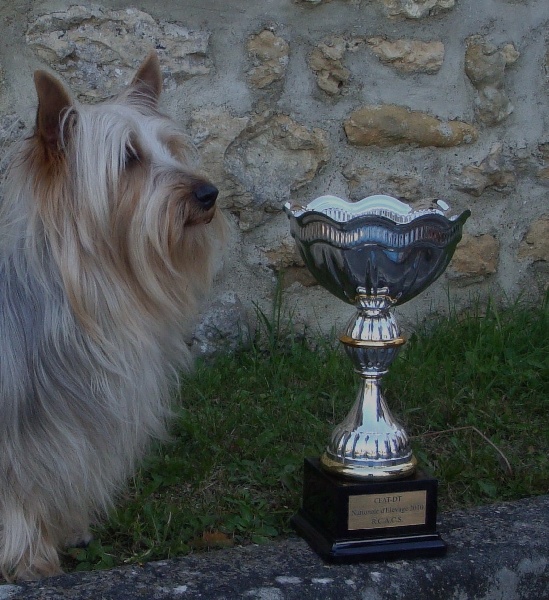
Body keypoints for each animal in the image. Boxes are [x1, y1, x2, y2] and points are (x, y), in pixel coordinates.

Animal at [0, 52, 223, 581]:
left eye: (172, 149)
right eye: (129, 159)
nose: (208, 193)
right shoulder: (19, 432)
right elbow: (18, 493)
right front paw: (29, 558)